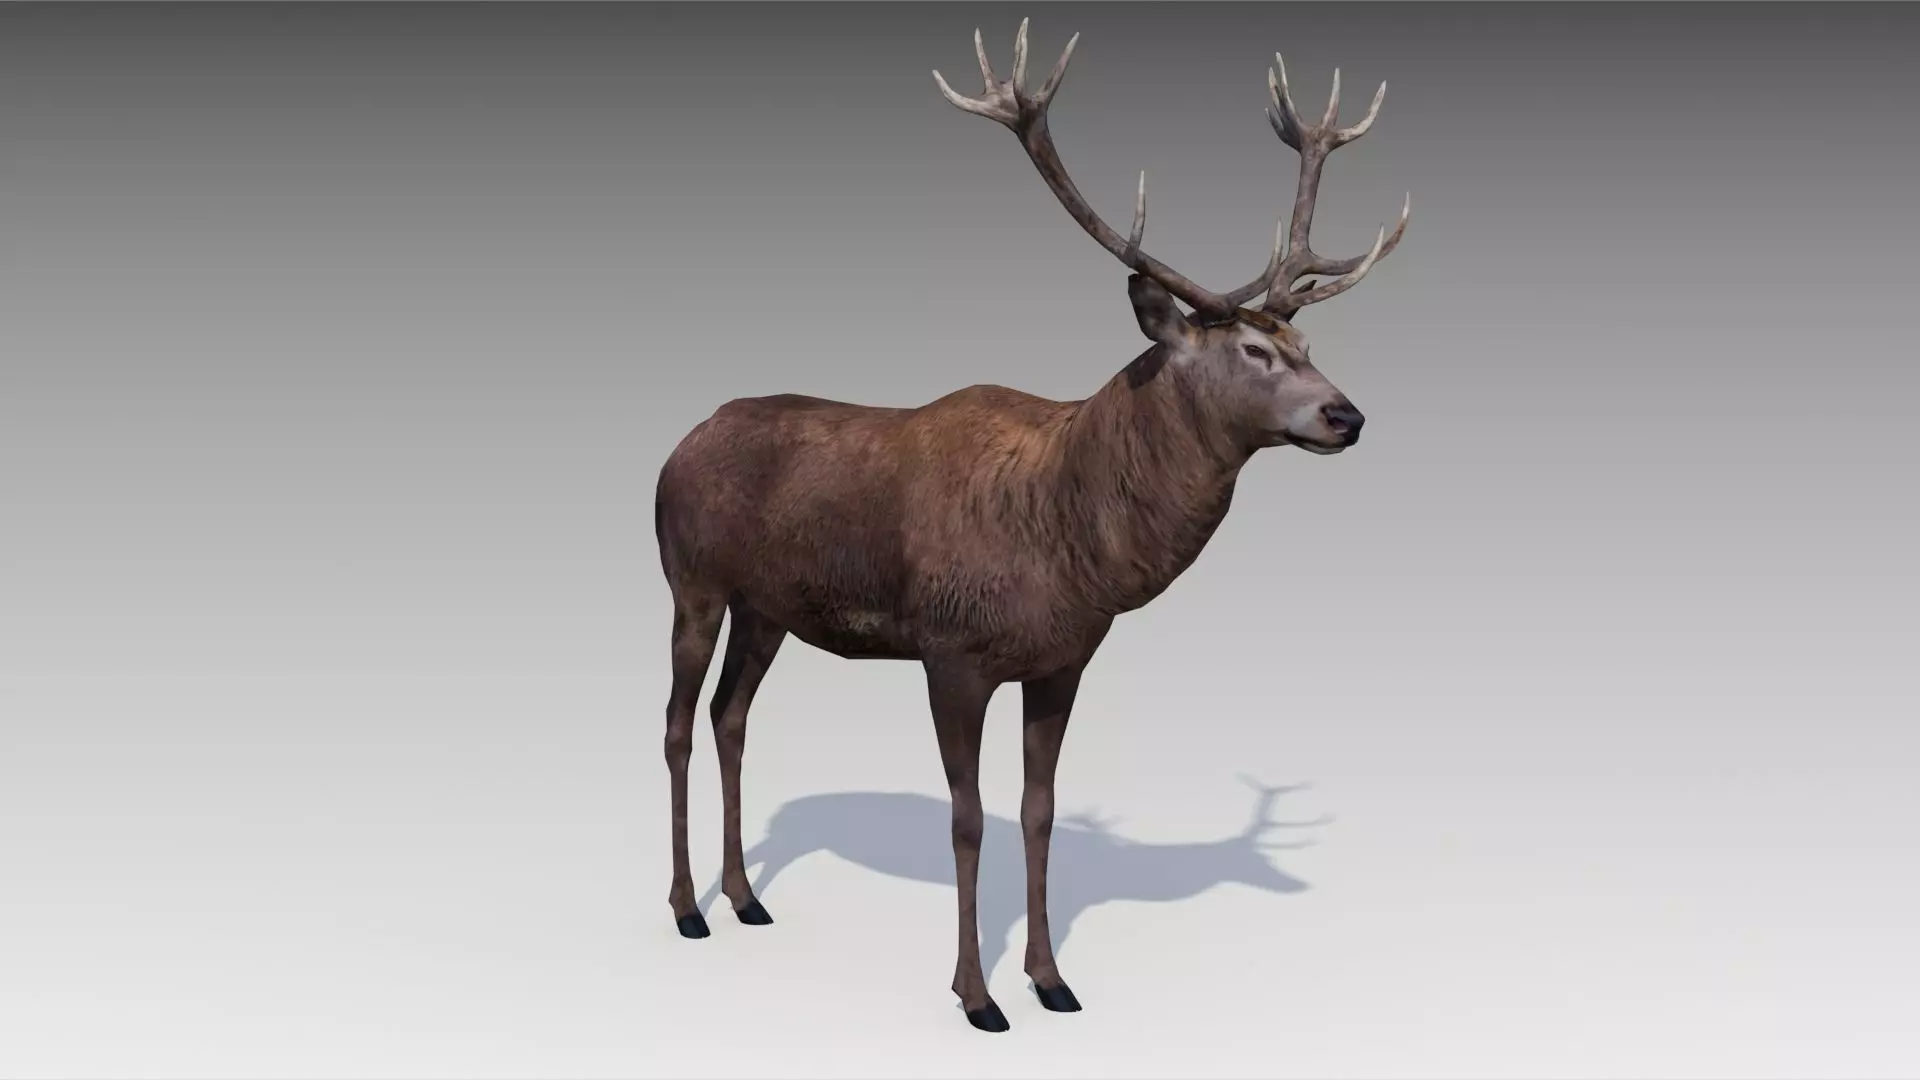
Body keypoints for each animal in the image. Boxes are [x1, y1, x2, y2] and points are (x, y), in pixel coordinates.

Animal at [653, 19, 1408, 1033]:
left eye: (1308, 344)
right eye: (1254, 350)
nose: (1347, 416)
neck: (1069, 537)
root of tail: (679, 442)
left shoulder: (1061, 661)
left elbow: (1040, 813)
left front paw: (1051, 980)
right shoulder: (950, 649)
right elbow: (969, 819)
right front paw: (976, 996)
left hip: (766, 607)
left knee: (733, 715)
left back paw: (746, 897)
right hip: (690, 578)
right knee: (678, 723)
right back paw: (688, 906)